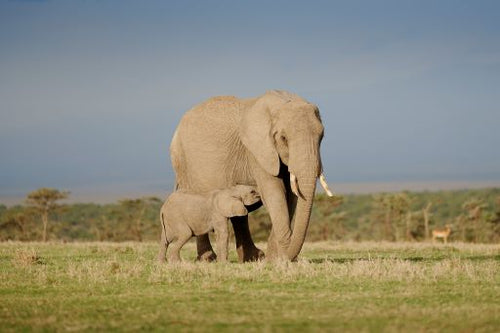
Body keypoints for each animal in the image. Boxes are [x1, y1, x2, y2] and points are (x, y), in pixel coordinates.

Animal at [171, 89, 332, 260]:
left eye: (321, 137)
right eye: (283, 138)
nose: (290, 257)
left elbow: (291, 196)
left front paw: (274, 259)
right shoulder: (256, 150)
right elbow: (274, 193)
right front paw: (281, 259)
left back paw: (253, 258)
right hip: (183, 163)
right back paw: (208, 259)